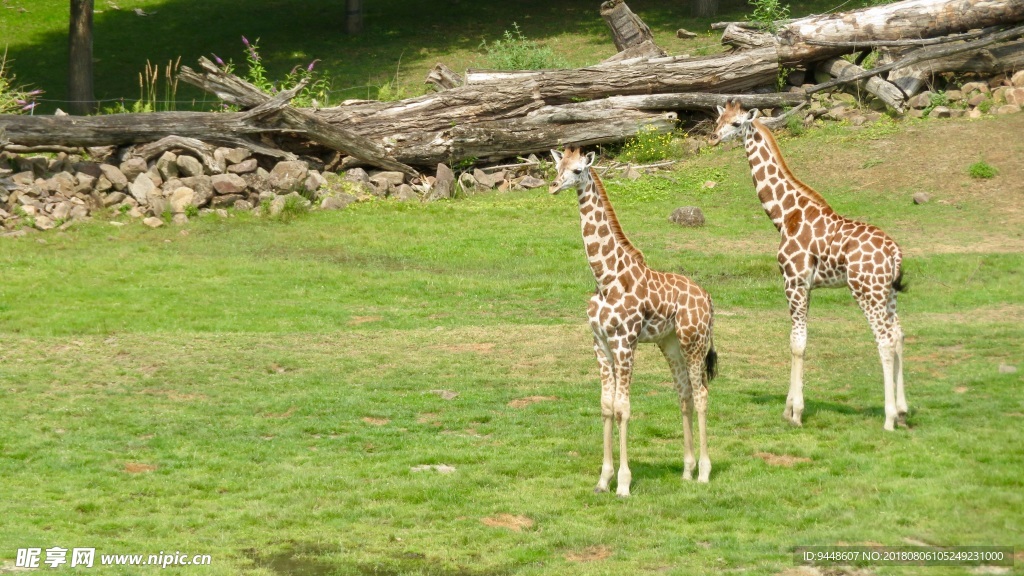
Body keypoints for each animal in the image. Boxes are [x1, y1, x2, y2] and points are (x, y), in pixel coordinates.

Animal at [548, 144, 716, 494]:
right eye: (557, 167)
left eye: (577, 170)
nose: (553, 187)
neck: (605, 279)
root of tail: (708, 298)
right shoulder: (600, 344)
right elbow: (606, 406)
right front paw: (603, 480)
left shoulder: (625, 343)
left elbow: (623, 408)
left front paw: (623, 483)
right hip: (670, 343)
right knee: (684, 395)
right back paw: (687, 471)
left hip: (694, 342)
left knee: (702, 394)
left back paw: (705, 473)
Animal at [708, 99, 909, 430]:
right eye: (718, 119)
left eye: (736, 124)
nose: (712, 138)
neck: (786, 215)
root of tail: (895, 254)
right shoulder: (807, 285)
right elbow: (797, 339)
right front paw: (788, 408)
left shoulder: (794, 280)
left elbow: (797, 342)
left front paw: (796, 413)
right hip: (888, 293)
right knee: (899, 335)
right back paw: (903, 411)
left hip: (866, 291)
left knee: (884, 340)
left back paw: (890, 417)